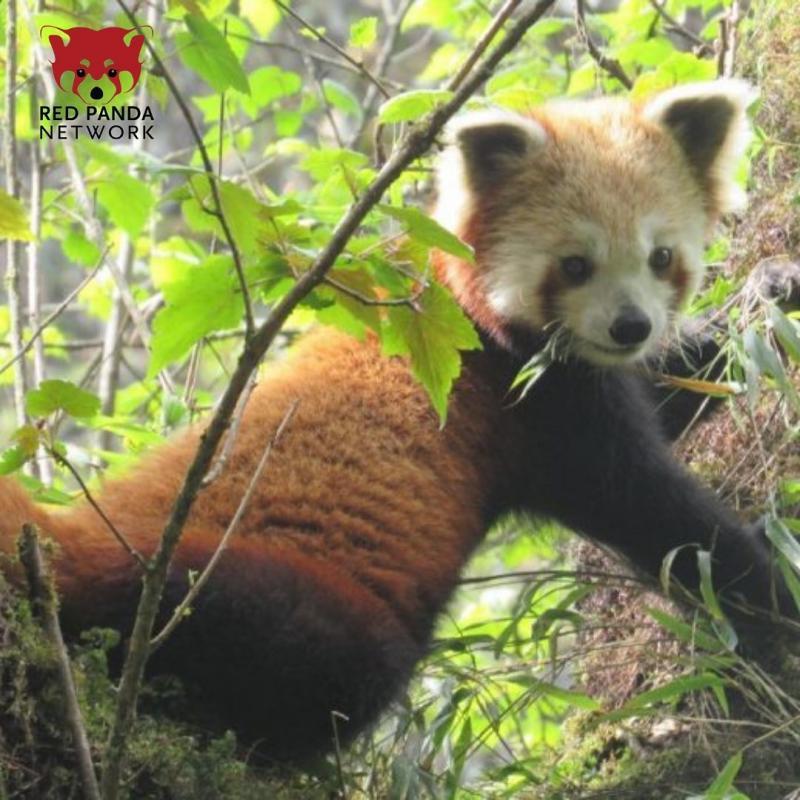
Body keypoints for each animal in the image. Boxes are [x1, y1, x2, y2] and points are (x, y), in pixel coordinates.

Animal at [0, 80, 790, 760]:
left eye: (661, 257)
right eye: (574, 264)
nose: (630, 325)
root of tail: (72, 533)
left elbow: (674, 386)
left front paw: (768, 297)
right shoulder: (530, 399)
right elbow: (655, 510)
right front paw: (775, 594)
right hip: (242, 585)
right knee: (327, 664)